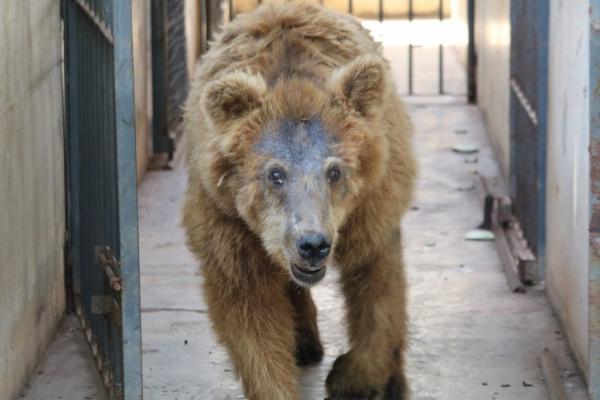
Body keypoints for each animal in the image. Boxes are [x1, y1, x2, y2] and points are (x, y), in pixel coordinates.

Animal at [183, 1, 418, 398]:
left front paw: (353, 377)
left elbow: (378, 290)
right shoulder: (227, 220)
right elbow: (250, 316)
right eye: (275, 174)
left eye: (335, 171)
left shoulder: (371, 207)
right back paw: (305, 341)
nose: (313, 245)